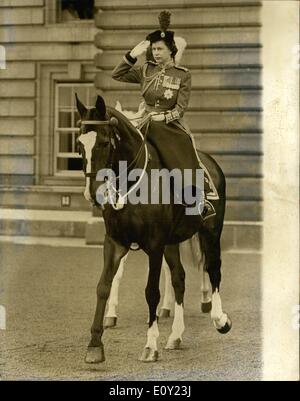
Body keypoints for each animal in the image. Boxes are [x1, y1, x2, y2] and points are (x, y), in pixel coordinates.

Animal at [76, 94, 231, 362]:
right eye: (79, 144)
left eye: (104, 142)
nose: (92, 193)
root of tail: (209, 161)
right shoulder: (115, 242)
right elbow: (104, 285)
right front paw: (95, 343)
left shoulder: (155, 245)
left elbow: (151, 291)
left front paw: (150, 345)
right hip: (173, 241)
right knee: (179, 278)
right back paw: (176, 335)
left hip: (210, 231)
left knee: (213, 268)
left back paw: (219, 318)